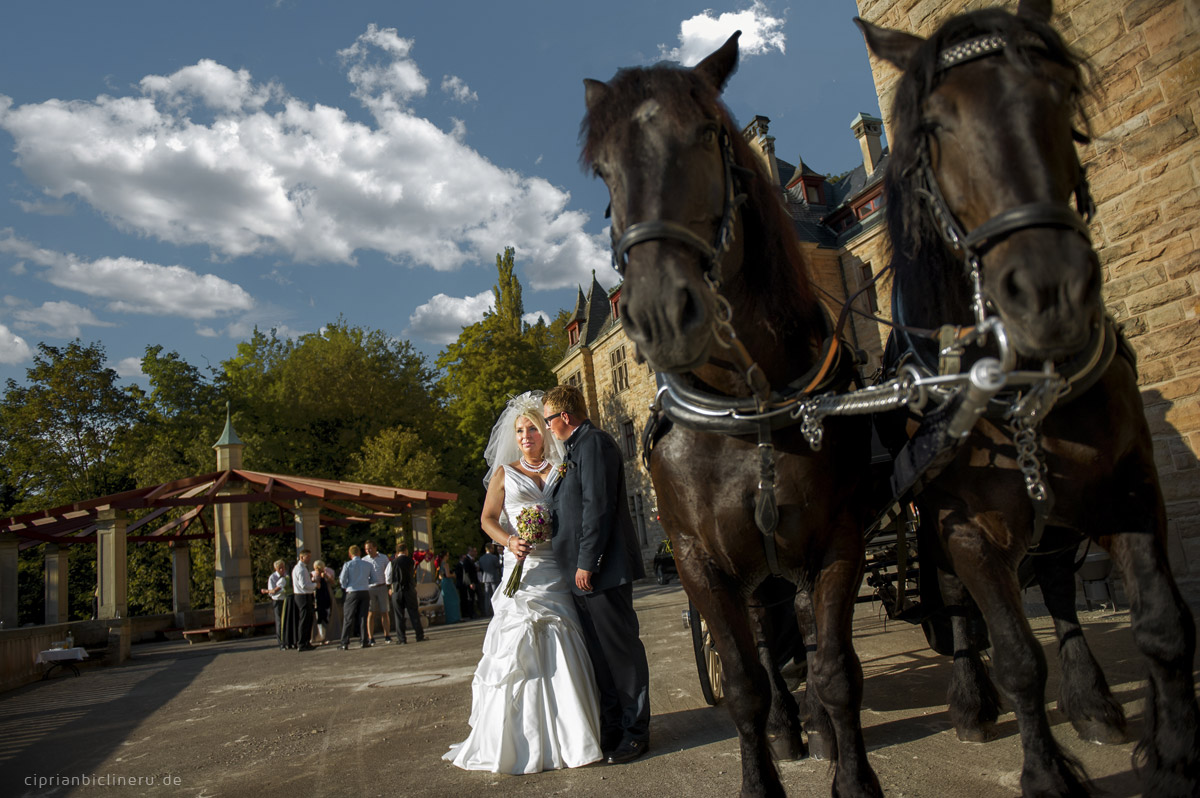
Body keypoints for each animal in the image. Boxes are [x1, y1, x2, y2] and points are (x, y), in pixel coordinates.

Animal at [583, 32, 883, 796]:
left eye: (706, 134)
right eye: (602, 171)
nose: (658, 311)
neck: (748, 403)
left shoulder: (839, 539)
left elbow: (836, 668)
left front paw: (849, 767)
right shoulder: (698, 560)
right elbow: (744, 680)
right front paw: (765, 763)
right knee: (763, 653)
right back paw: (785, 727)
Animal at [859, 3, 1195, 792]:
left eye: (1063, 94)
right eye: (934, 125)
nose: (1050, 292)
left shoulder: (1130, 490)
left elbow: (1162, 624)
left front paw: (1169, 756)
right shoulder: (963, 527)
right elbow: (1014, 654)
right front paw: (1044, 771)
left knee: (1058, 586)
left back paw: (1093, 701)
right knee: (959, 605)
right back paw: (971, 701)